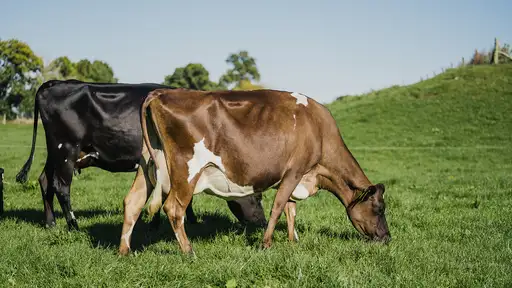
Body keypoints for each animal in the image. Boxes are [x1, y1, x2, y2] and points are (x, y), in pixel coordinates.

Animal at [14, 79, 266, 232]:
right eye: (257, 196)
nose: (263, 223)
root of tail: (55, 83)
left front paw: (188, 220)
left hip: (55, 153)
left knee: (45, 181)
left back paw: (51, 223)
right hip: (66, 149)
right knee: (61, 186)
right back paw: (73, 224)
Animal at [118, 89, 390, 255]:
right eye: (379, 209)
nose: (387, 237)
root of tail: (162, 92)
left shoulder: (296, 177)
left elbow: (291, 209)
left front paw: (292, 241)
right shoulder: (295, 170)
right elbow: (279, 207)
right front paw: (266, 244)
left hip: (146, 164)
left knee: (132, 202)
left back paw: (124, 251)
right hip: (187, 170)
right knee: (174, 208)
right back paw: (189, 251)